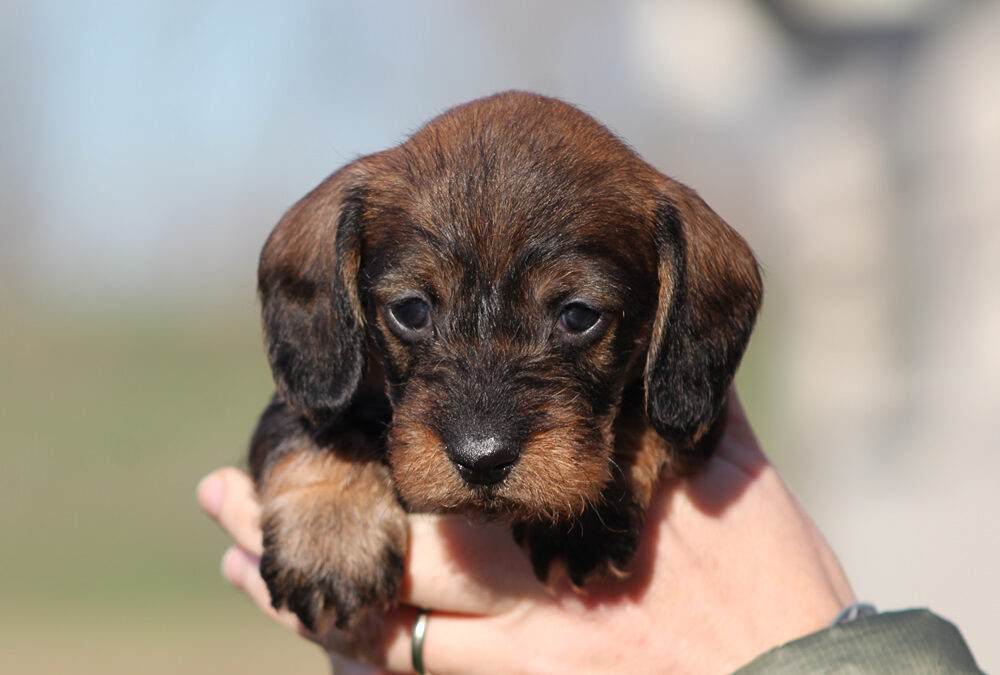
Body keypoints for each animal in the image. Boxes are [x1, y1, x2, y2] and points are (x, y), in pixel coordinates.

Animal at [246, 92, 760, 632]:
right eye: (410, 310)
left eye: (579, 315)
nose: (481, 459)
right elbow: (317, 427)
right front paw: (330, 534)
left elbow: (640, 416)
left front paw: (584, 516)